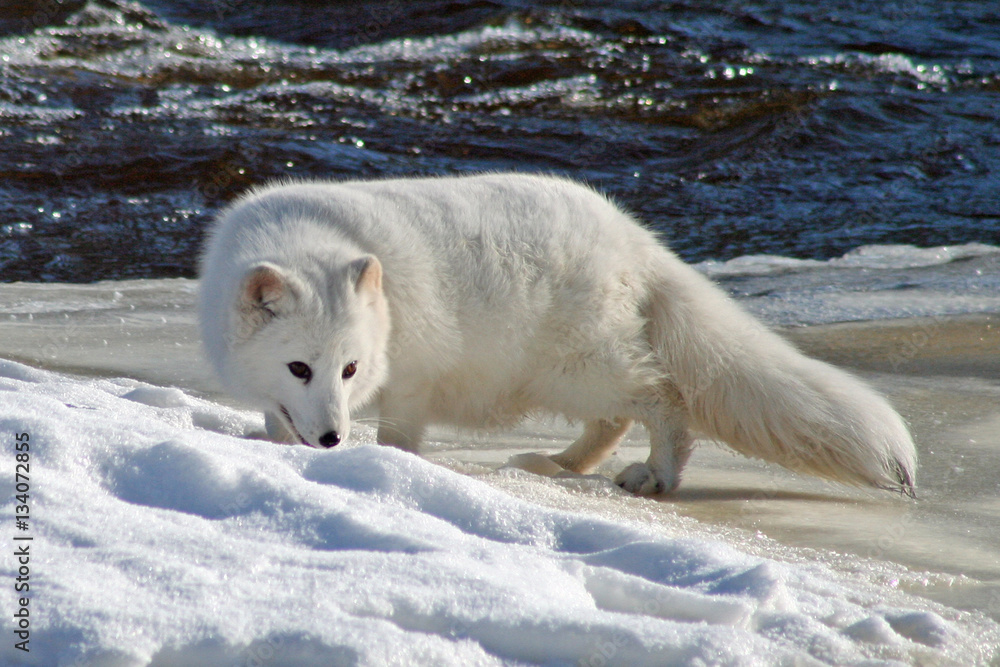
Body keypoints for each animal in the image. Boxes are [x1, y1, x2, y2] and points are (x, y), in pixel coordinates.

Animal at [198, 173, 916, 496]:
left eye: (349, 369)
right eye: (299, 368)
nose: (331, 439)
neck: (311, 236)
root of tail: (635, 237)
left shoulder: (411, 379)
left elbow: (400, 435)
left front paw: (392, 469)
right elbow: (276, 421)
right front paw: (282, 448)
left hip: (579, 366)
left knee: (662, 400)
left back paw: (657, 474)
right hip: (567, 375)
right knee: (614, 418)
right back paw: (564, 464)